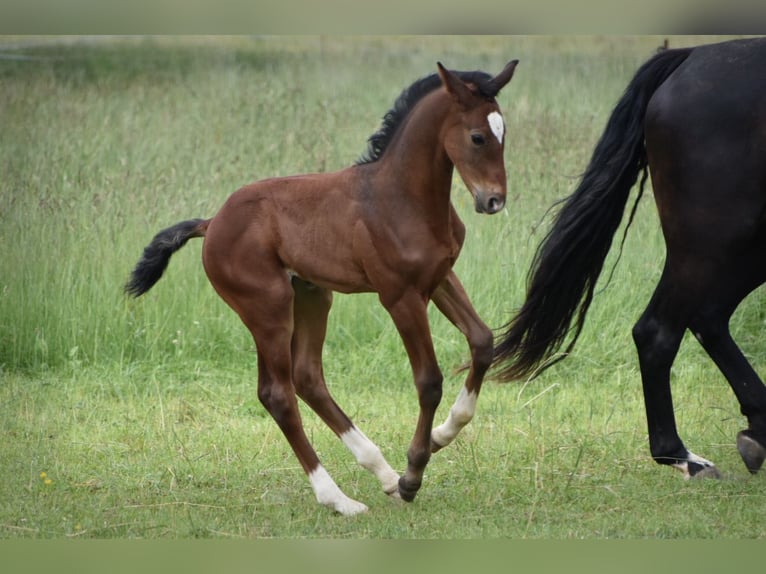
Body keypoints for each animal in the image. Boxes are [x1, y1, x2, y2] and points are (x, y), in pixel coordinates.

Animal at [126, 60, 520, 516]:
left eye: (504, 133)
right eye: (477, 136)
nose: (494, 200)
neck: (400, 197)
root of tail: (212, 223)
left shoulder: (438, 279)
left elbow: (483, 341)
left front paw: (442, 435)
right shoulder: (399, 296)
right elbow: (429, 380)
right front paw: (413, 474)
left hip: (312, 295)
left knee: (307, 377)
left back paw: (380, 473)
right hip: (268, 308)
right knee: (278, 394)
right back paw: (341, 497)